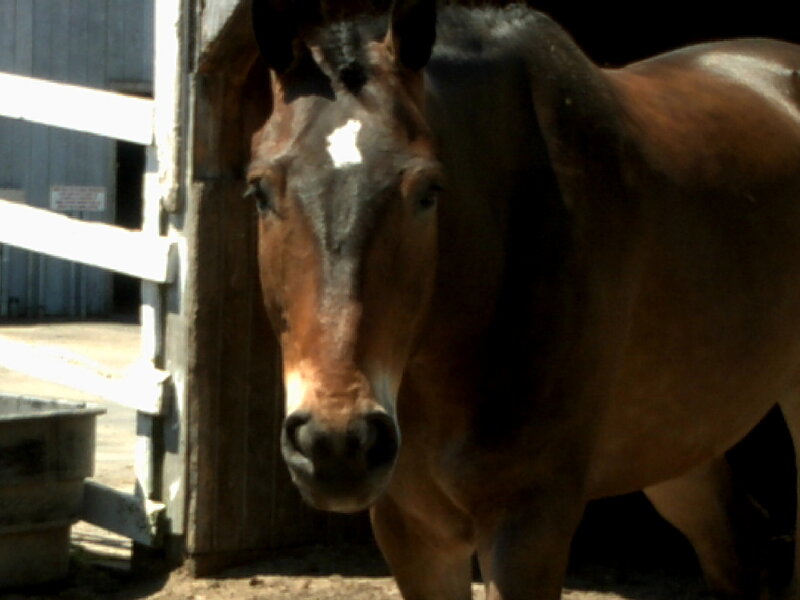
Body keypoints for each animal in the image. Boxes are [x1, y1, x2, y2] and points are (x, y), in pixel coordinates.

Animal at [246, 1, 800, 598]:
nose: (336, 443)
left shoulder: (529, 523)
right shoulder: (415, 531)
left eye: (428, 191)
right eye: (259, 190)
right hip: (676, 438)